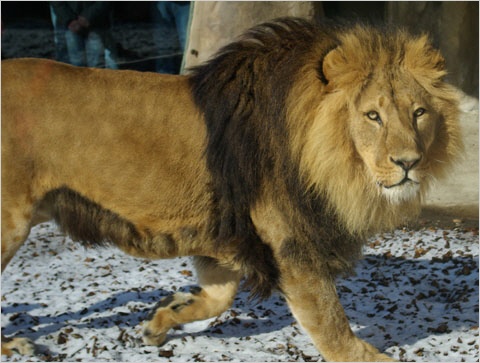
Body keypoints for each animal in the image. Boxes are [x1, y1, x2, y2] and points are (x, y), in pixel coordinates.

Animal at [1, 18, 464, 362]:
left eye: (419, 113)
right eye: (372, 116)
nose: (409, 162)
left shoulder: (221, 237)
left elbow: (218, 297)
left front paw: (163, 318)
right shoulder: (292, 245)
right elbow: (331, 323)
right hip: (10, 225)